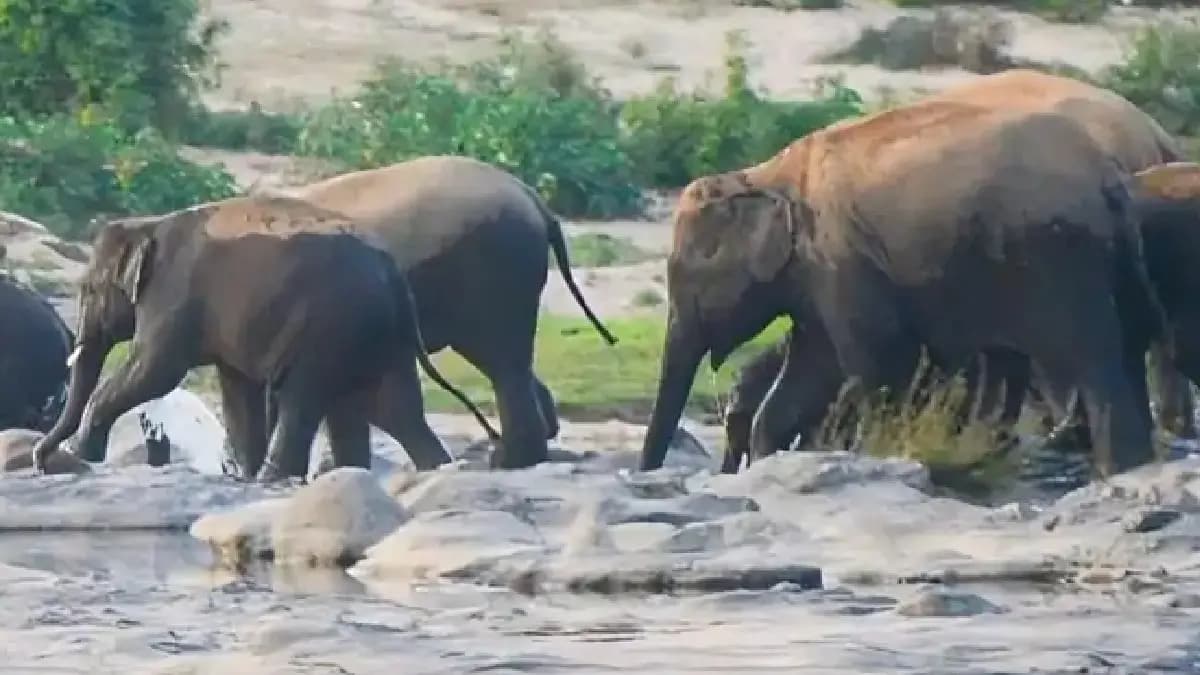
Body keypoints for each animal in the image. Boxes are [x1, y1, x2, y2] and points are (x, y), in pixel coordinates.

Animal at [31, 194, 497, 482]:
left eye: (88, 289)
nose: (40, 458)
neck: (150, 223)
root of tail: (394, 274)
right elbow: (237, 390)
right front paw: (242, 475)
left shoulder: (172, 297)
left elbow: (155, 371)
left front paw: (82, 453)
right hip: (375, 335)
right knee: (390, 409)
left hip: (328, 329)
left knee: (304, 397)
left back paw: (277, 477)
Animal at [639, 100, 1169, 478]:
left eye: (689, 274)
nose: (646, 474)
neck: (765, 174)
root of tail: (1109, 177)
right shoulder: (819, 275)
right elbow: (814, 367)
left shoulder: (842, 258)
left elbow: (878, 365)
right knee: (1123, 351)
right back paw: (1132, 467)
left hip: (1058, 261)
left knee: (1092, 359)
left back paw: (1116, 468)